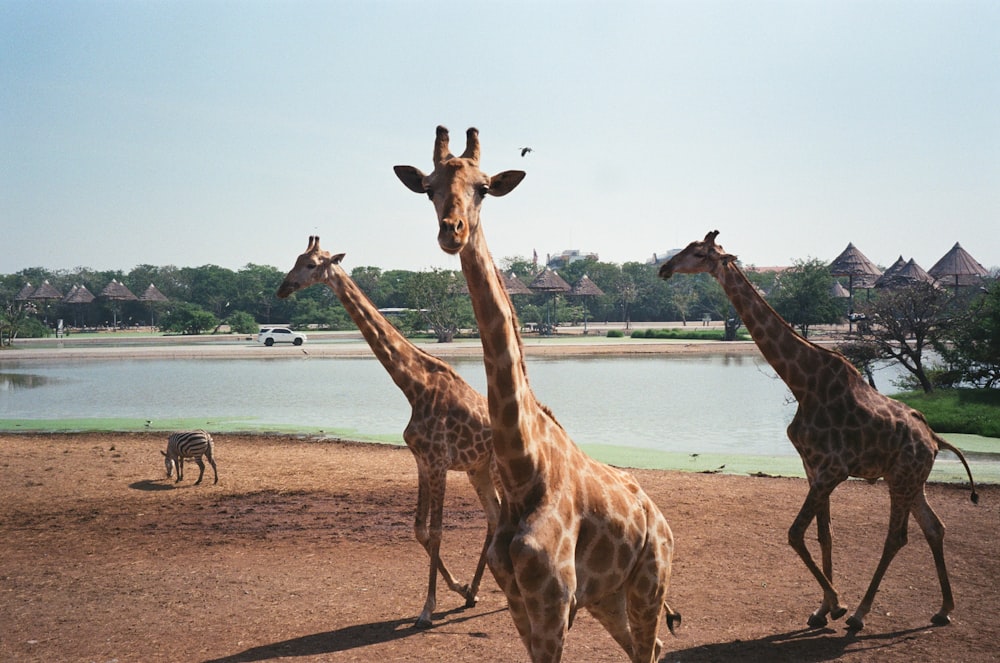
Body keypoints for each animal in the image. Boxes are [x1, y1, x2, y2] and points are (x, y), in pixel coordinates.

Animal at [276, 236, 498, 632]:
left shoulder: (438, 462)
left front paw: (427, 609)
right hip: (479, 469)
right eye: (296, 259)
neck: (414, 387)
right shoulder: (422, 461)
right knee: (495, 517)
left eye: (312, 265)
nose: (282, 288)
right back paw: (475, 590)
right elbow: (420, 529)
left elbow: (437, 531)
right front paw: (459, 589)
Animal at [396, 128, 680, 663]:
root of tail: (657, 516)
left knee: (649, 645)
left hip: (650, 580)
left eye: (484, 187)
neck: (524, 468)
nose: (452, 231)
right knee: (646, 647)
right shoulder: (521, 601)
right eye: (427, 188)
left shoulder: (554, 601)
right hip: (609, 596)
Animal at [660, 231, 980, 632]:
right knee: (934, 527)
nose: (664, 268)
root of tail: (935, 440)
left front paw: (838, 605)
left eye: (700, 253)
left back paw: (860, 614)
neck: (802, 383)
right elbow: (823, 534)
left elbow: (796, 533)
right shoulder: (814, 468)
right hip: (909, 479)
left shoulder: (833, 469)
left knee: (897, 536)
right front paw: (821, 609)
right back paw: (944, 609)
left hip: (904, 478)